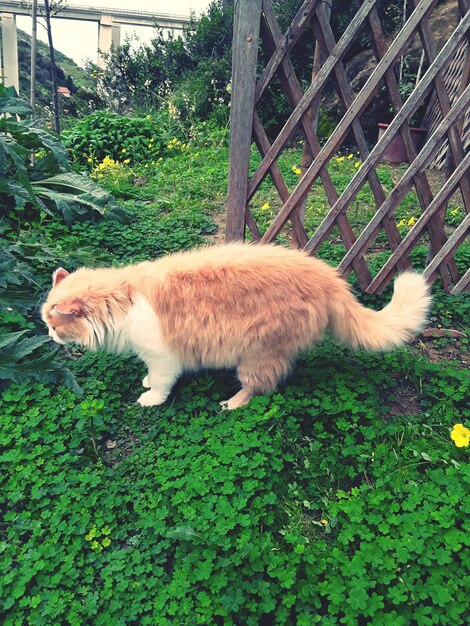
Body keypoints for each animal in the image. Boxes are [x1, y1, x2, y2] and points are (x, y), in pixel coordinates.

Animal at [42, 241, 432, 408]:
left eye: (55, 326)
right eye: (46, 323)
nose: (48, 335)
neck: (124, 298)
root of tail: (330, 278)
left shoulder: (165, 357)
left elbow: (162, 383)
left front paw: (150, 397)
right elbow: (151, 375)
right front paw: (146, 382)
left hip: (256, 355)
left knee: (261, 387)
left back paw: (232, 403)